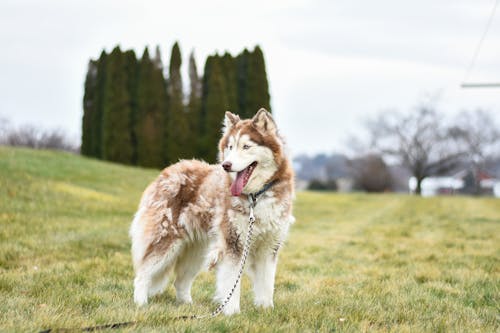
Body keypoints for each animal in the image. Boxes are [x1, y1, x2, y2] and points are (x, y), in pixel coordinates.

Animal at [129, 108, 294, 314]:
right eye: (230, 147)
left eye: (246, 146)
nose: (226, 165)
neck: (256, 196)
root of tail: (168, 171)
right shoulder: (234, 244)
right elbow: (232, 284)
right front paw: (232, 313)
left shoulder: (269, 247)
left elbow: (266, 284)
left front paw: (266, 310)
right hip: (166, 242)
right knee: (142, 275)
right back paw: (141, 304)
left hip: (196, 251)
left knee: (180, 282)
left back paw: (188, 307)